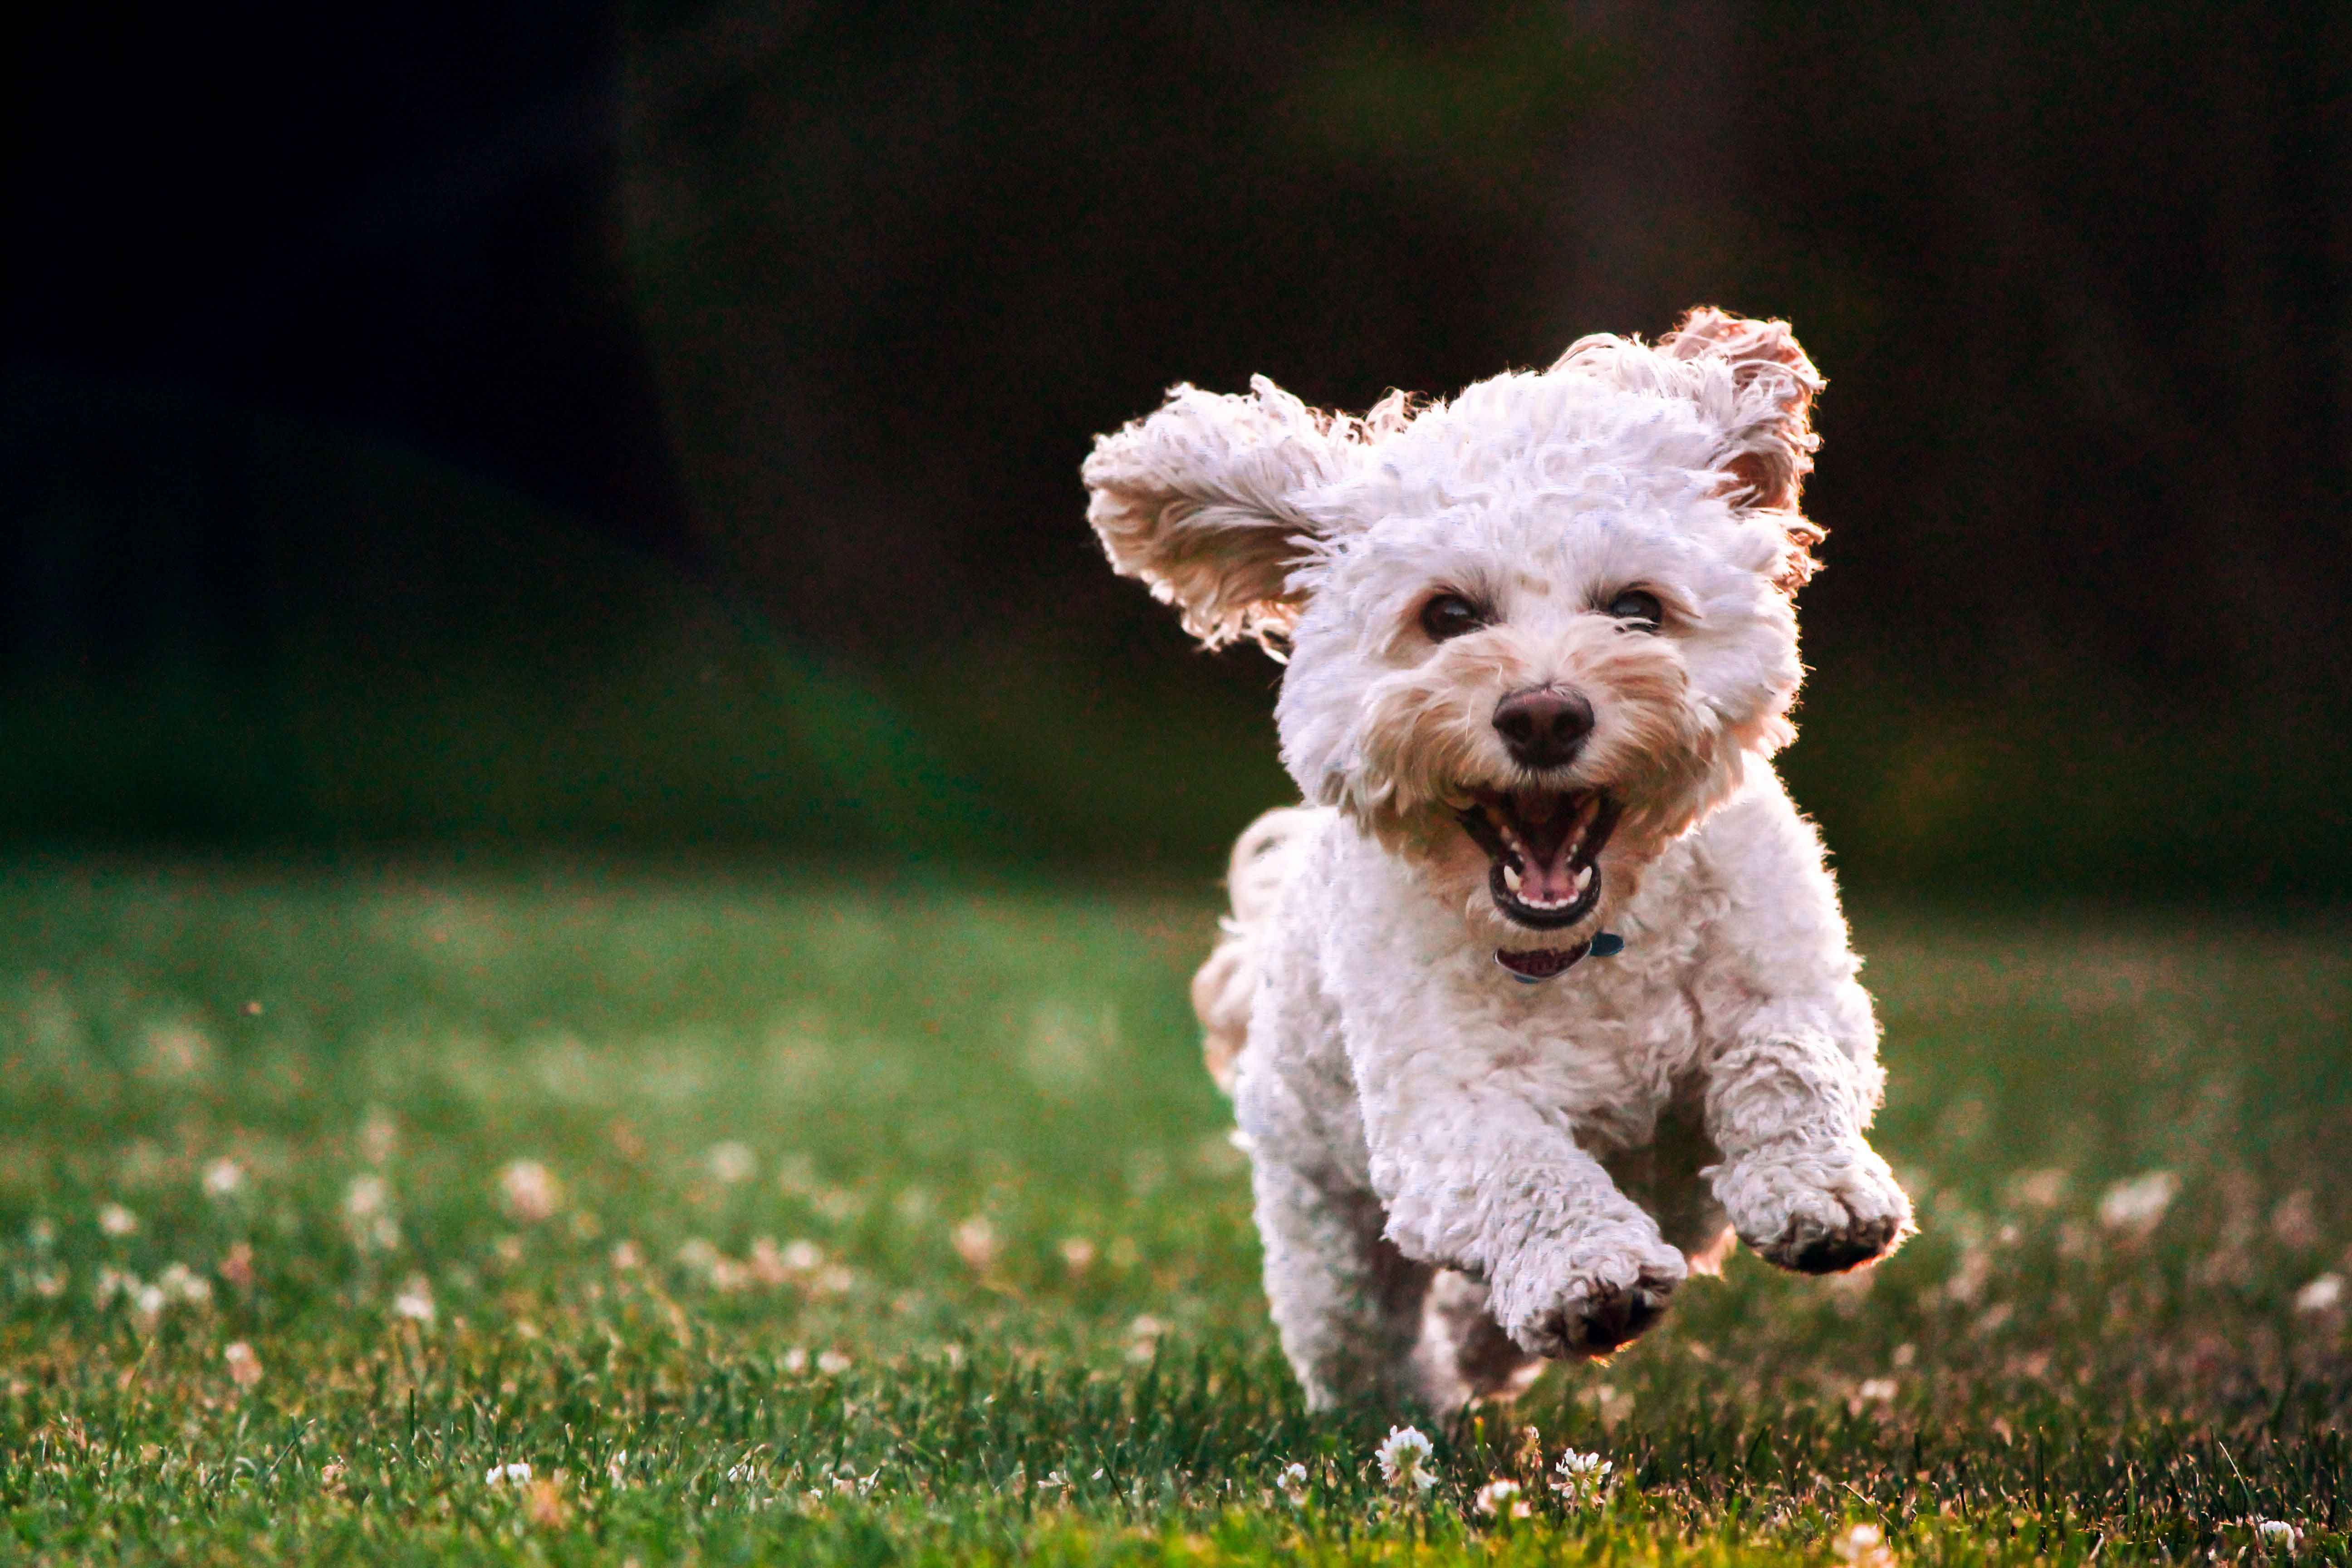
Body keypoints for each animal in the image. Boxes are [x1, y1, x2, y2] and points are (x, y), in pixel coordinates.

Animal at [1082, 303, 1910, 1410]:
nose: (1545, 714)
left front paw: (1819, 1193)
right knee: (1356, 1329)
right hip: (1321, 1215)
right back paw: (1411, 1400)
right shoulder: (1441, 1112)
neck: (1593, 944)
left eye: (1636, 609)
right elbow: (1522, 1167)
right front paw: (1585, 1272)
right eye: (1447, 615)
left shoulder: (1793, 982)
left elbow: (1787, 1062)